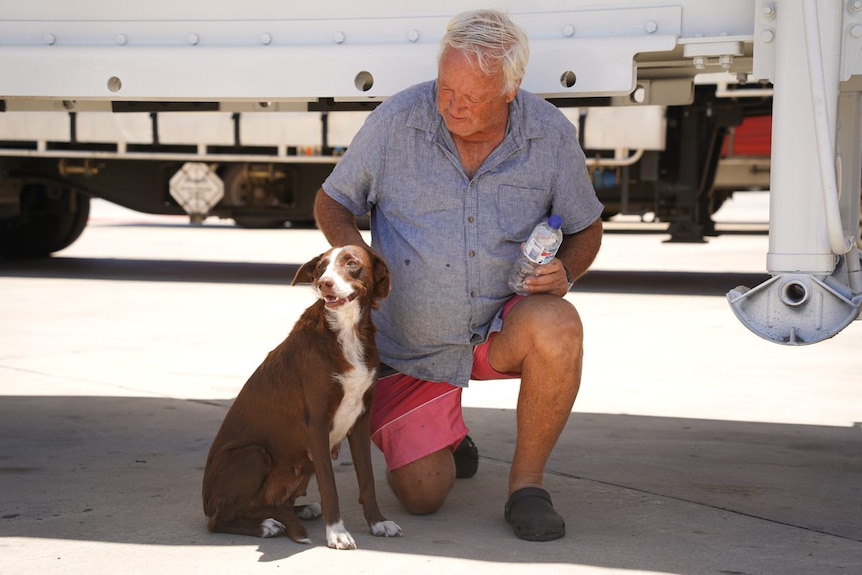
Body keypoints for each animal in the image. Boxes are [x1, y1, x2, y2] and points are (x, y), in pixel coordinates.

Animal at [202, 245, 402, 552]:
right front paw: (337, 534)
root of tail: (205, 502)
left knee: (265, 505)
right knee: (218, 519)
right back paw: (265, 526)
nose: (324, 283)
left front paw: (378, 523)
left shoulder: (360, 419)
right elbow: (330, 487)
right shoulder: (317, 425)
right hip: (253, 454)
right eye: (321, 267)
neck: (345, 332)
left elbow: (367, 479)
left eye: (352, 263)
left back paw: (298, 511)